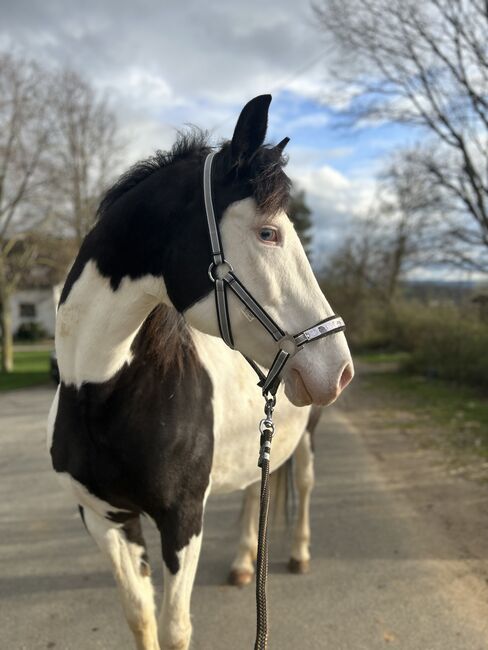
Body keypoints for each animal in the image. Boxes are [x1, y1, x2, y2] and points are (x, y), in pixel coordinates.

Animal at [47, 96, 352, 648]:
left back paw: (298, 554)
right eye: (268, 233)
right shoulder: (105, 518)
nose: (339, 368)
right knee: (255, 492)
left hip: (308, 438)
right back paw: (242, 564)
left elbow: (175, 627)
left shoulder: (183, 520)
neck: (101, 394)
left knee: (305, 485)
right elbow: (140, 617)